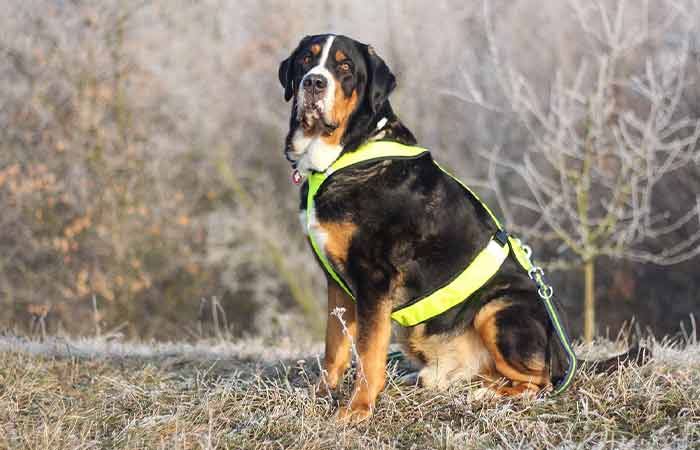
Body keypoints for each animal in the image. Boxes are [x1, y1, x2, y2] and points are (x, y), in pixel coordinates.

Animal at [278, 32, 644, 422]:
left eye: (345, 67)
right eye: (307, 60)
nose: (314, 83)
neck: (343, 156)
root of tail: (566, 354)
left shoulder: (374, 278)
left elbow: (368, 353)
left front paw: (357, 409)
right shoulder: (338, 282)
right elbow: (335, 346)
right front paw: (320, 394)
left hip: (497, 309)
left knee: (540, 382)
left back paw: (485, 395)